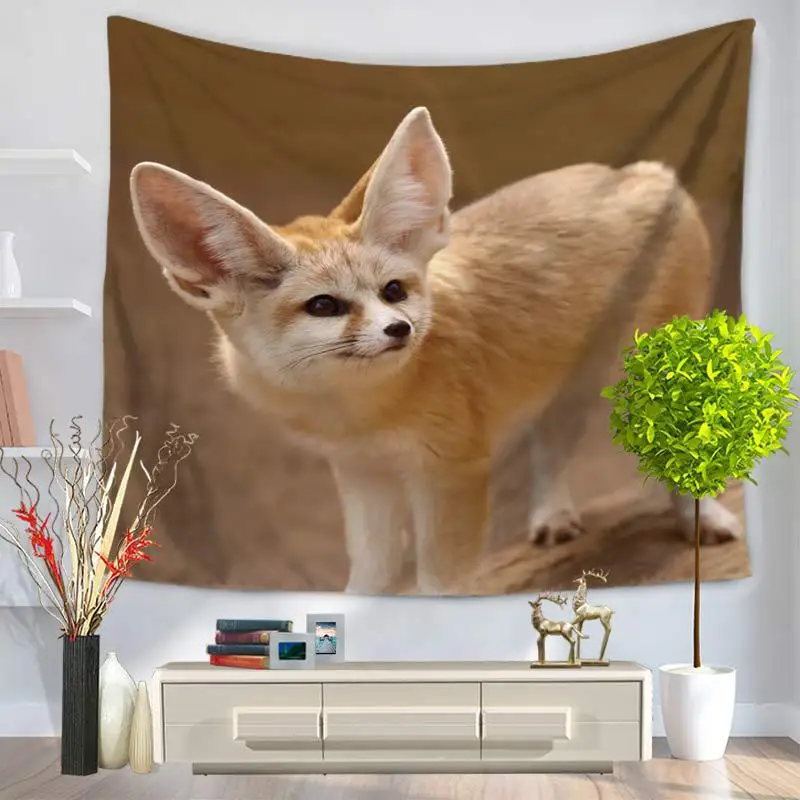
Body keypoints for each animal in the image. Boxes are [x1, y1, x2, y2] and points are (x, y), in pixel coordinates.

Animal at [128, 106, 741, 596]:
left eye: (393, 291)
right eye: (324, 306)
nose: (399, 329)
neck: (359, 414)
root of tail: (644, 173)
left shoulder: (451, 475)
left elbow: (440, 585)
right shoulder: (363, 476)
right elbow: (369, 577)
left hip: (650, 387)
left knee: (683, 457)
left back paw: (701, 517)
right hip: (565, 388)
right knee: (550, 442)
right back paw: (553, 513)